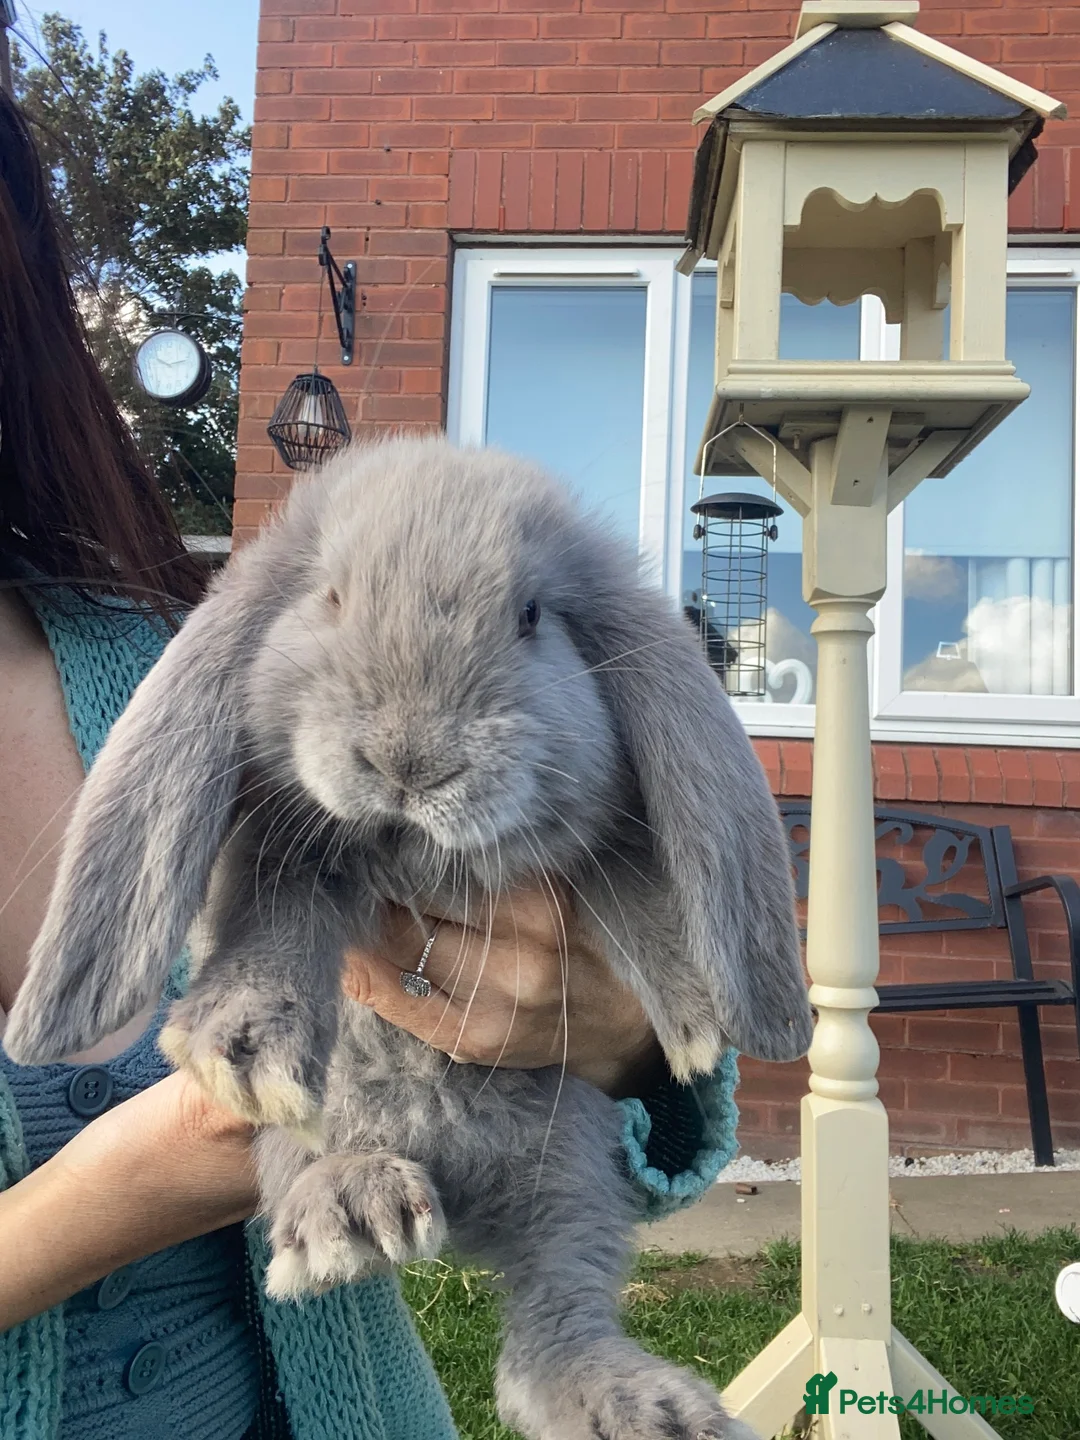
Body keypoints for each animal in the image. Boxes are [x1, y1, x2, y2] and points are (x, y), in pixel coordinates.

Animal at [4, 435, 812, 1440]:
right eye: (331, 597)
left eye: (531, 616)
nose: (410, 762)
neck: (418, 856)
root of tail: (455, 1196)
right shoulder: (282, 855)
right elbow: (276, 925)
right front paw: (242, 1051)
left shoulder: (597, 840)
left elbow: (633, 889)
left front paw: (697, 1024)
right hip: (331, 1135)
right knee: (318, 1172)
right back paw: (354, 1210)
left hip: (573, 1174)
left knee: (548, 1330)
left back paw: (651, 1409)